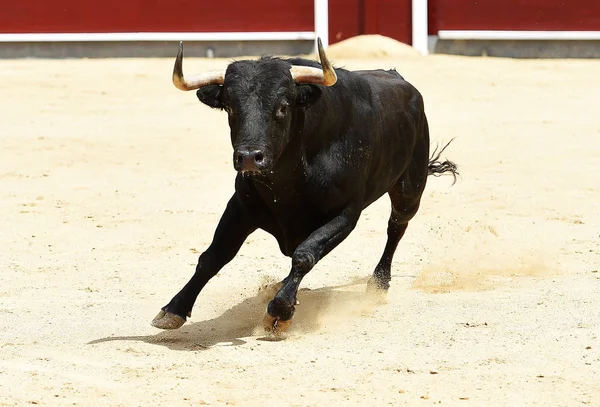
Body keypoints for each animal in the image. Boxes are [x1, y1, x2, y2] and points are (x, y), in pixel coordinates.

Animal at [152, 39, 458, 334]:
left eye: (283, 107)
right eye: (229, 108)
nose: (249, 157)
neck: (289, 180)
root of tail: (397, 77)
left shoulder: (345, 214)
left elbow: (304, 255)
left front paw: (280, 311)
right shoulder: (241, 205)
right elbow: (213, 255)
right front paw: (174, 309)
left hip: (409, 190)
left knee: (396, 228)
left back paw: (378, 284)